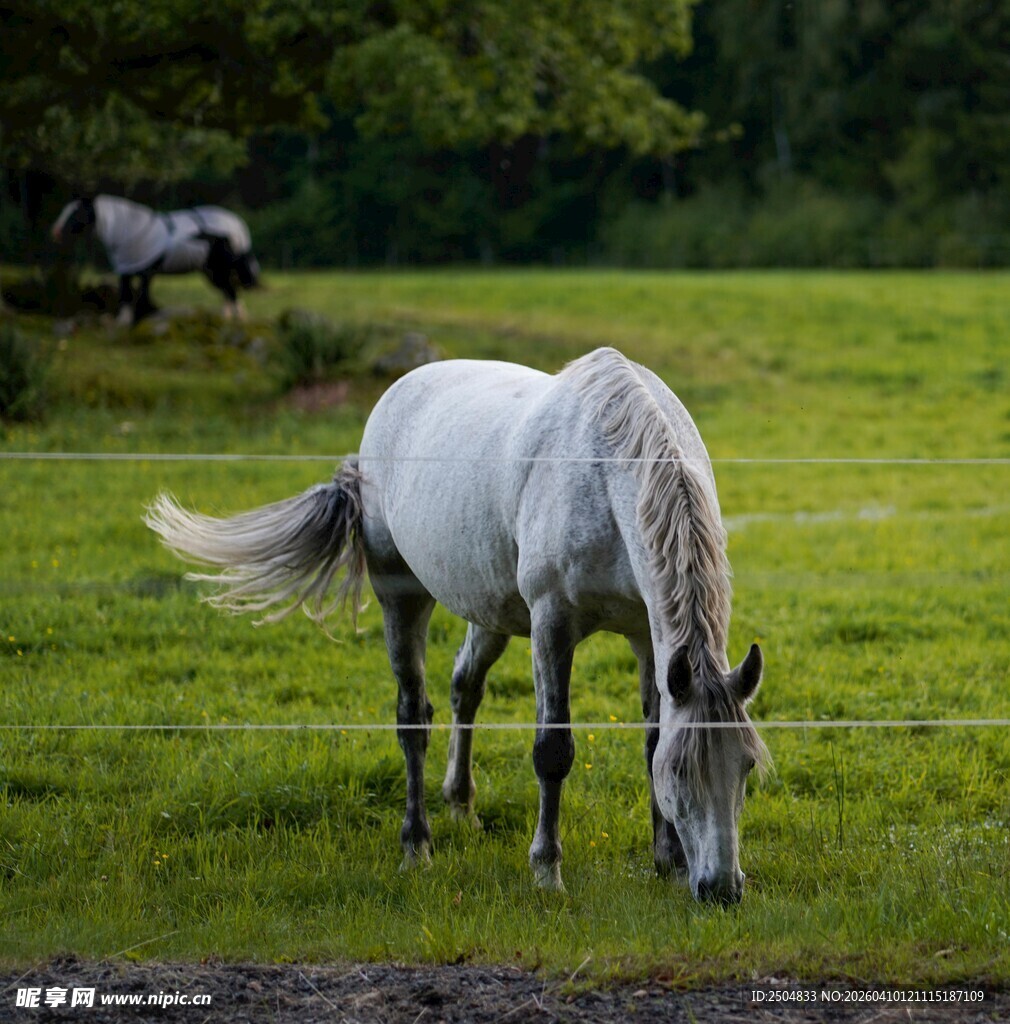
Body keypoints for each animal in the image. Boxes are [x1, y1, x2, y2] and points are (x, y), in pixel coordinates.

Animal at [51, 195, 260, 325]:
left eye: (77, 212)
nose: (56, 232)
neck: (131, 231)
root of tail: (236, 225)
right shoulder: (126, 271)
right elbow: (126, 296)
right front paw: (123, 323)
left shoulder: (146, 272)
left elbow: (142, 298)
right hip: (211, 272)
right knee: (228, 291)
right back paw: (229, 318)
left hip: (221, 269)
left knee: (231, 291)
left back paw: (238, 320)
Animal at [145, 347, 767, 904]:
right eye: (683, 776)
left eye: (745, 768)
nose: (721, 889)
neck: (606, 465)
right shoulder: (553, 622)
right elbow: (553, 749)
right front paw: (546, 870)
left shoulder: (645, 635)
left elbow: (653, 736)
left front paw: (667, 862)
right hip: (401, 594)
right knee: (412, 716)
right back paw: (416, 845)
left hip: (490, 613)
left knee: (464, 688)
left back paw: (461, 805)